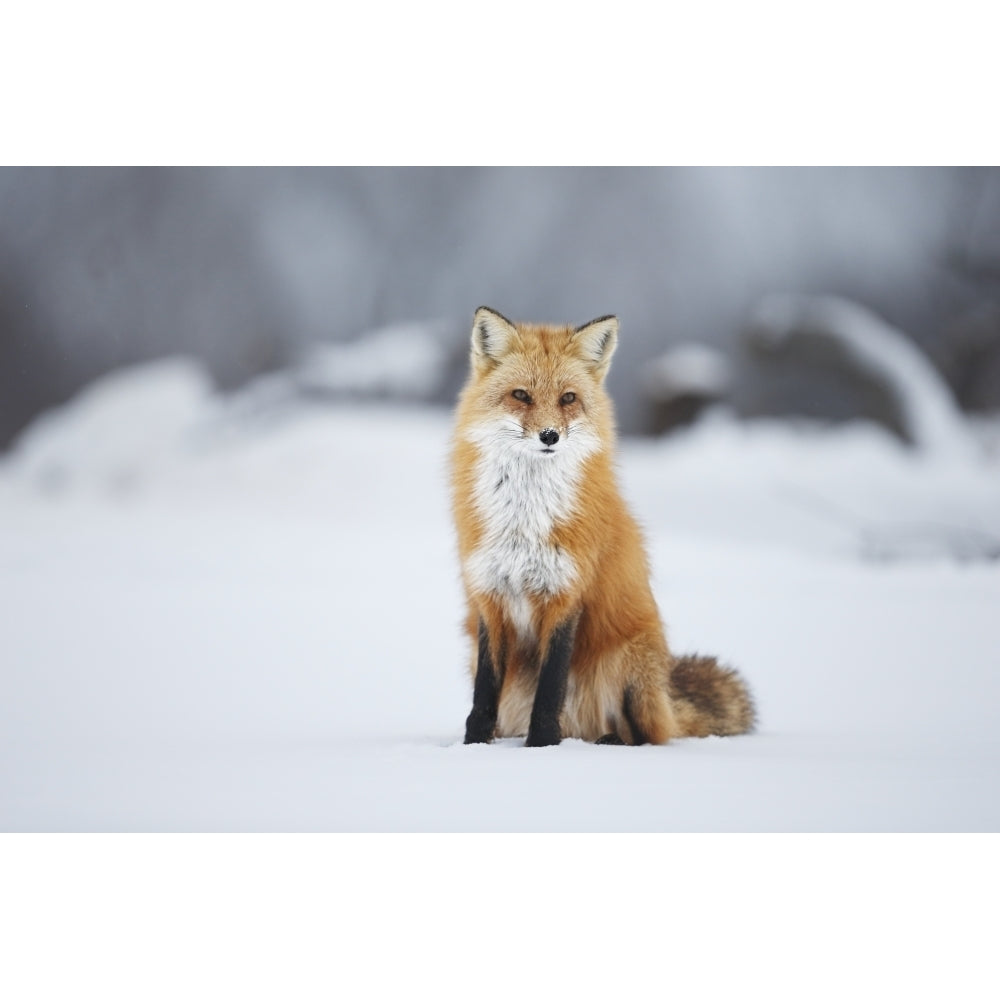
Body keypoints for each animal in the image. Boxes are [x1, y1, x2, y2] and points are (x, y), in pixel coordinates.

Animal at [450, 308, 752, 748]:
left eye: (568, 398)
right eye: (521, 395)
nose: (549, 436)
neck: (526, 521)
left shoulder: (567, 594)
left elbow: (551, 688)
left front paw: (542, 746)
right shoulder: (490, 597)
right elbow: (484, 692)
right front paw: (472, 747)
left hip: (628, 664)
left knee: (648, 735)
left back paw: (609, 742)